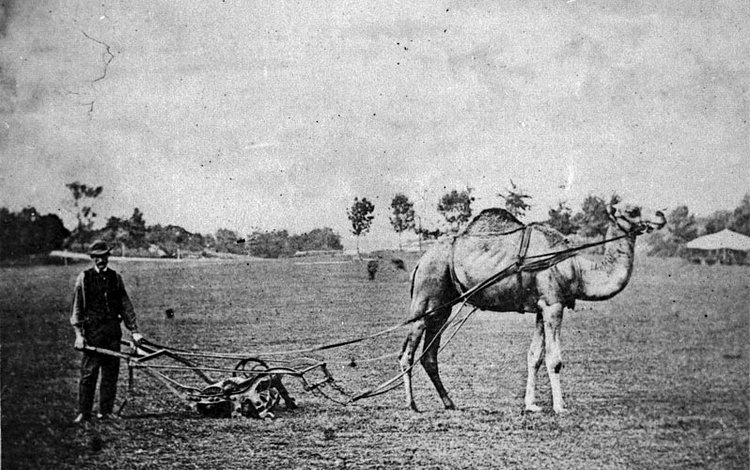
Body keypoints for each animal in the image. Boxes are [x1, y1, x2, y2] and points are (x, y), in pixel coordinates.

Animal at [399, 198, 665, 413]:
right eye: (632, 210)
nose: (661, 215)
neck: (577, 268)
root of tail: (420, 260)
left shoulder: (541, 308)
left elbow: (534, 356)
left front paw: (531, 405)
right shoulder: (553, 305)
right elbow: (554, 360)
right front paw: (560, 407)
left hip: (442, 308)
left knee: (429, 355)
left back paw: (449, 403)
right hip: (426, 297)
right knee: (407, 354)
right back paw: (412, 405)